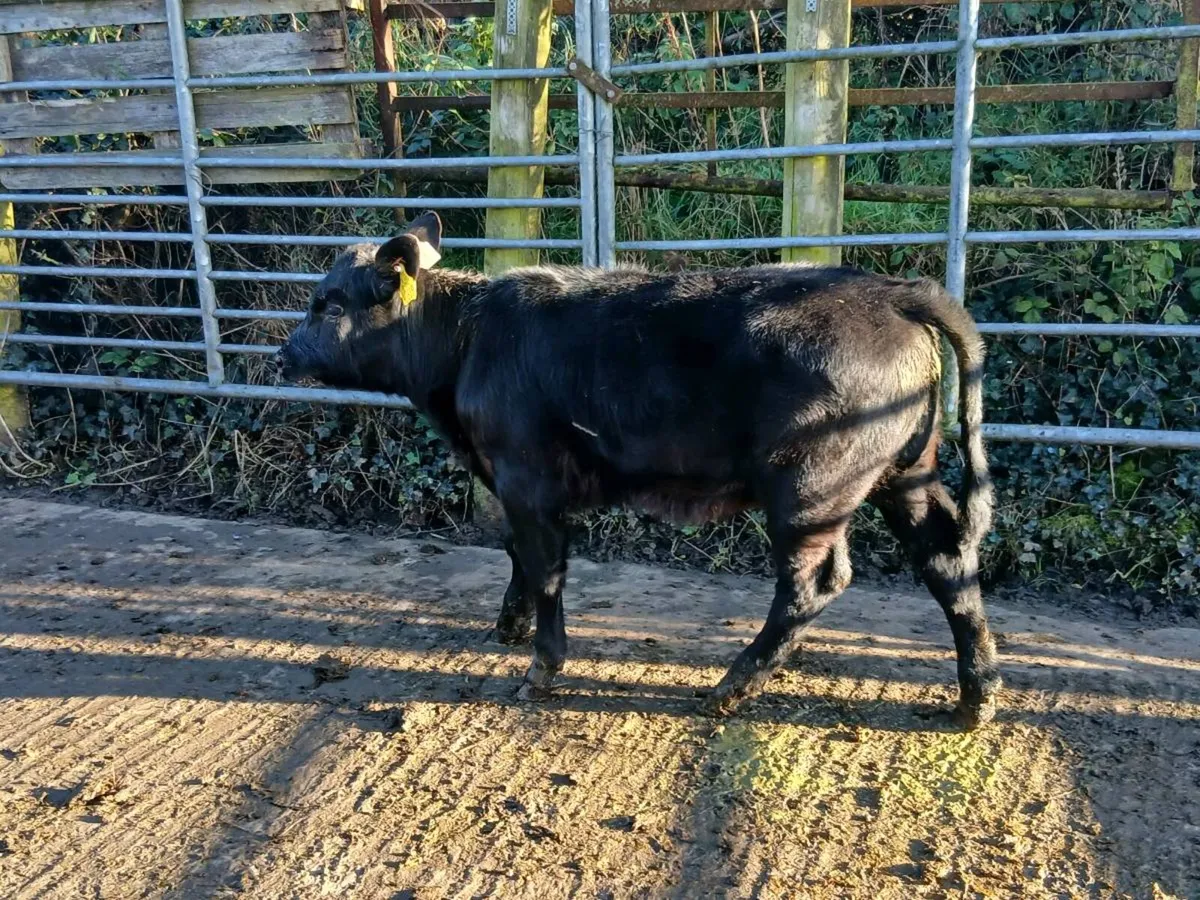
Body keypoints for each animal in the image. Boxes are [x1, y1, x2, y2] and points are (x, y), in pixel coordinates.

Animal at [278, 212, 1002, 728]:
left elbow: (545, 568)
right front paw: (509, 625)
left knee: (812, 584)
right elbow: (514, 551)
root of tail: (891, 292)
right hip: (904, 473)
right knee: (946, 561)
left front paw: (542, 666)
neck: (468, 340)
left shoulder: (528, 479)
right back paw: (977, 697)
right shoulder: (508, 482)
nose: (283, 353)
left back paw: (729, 688)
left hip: (810, 489)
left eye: (330, 304)